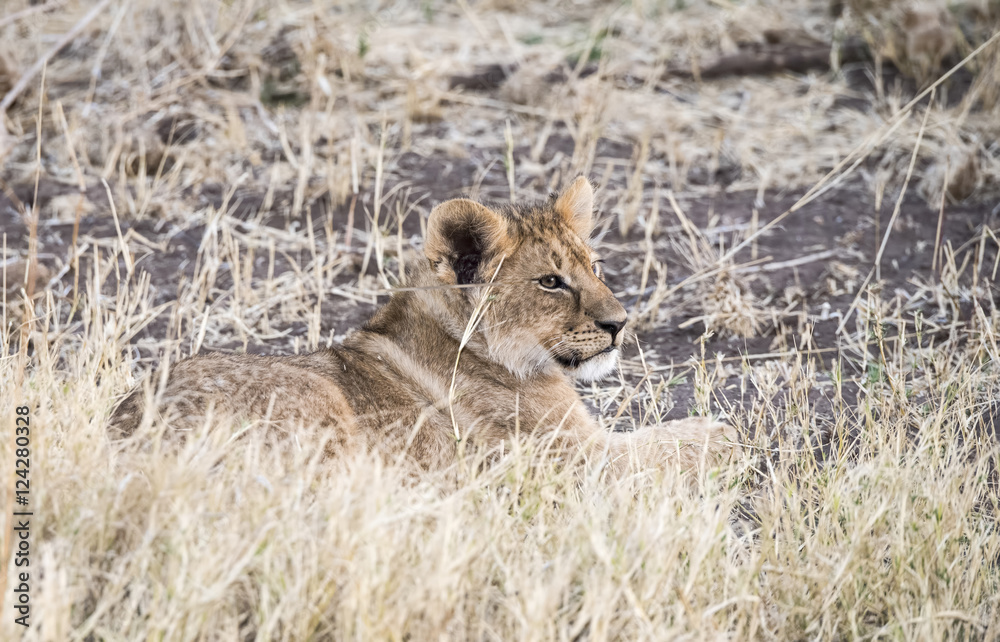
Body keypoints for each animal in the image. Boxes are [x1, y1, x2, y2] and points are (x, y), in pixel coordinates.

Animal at [110, 177, 738, 474]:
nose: (619, 324)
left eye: (596, 267)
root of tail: (125, 431)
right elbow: (677, 444)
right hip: (320, 404)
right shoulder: (578, 464)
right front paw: (726, 434)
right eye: (550, 282)